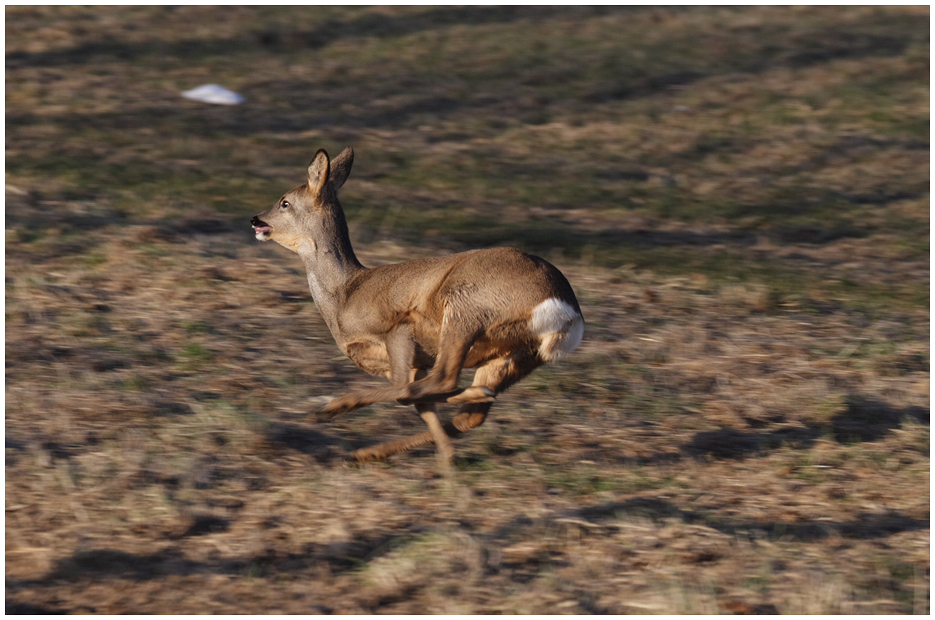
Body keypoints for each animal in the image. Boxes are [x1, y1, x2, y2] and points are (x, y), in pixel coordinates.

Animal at [249, 148, 584, 462]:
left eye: (284, 202)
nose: (254, 219)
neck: (344, 296)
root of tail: (567, 311)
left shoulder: (399, 326)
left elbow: (406, 387)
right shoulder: (409, 363)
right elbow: (423, 404)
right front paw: (447, 457)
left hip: (465, 306)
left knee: (442, 381)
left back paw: (336, 411)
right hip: (516, 354)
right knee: (467, 413)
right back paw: (374, 452)